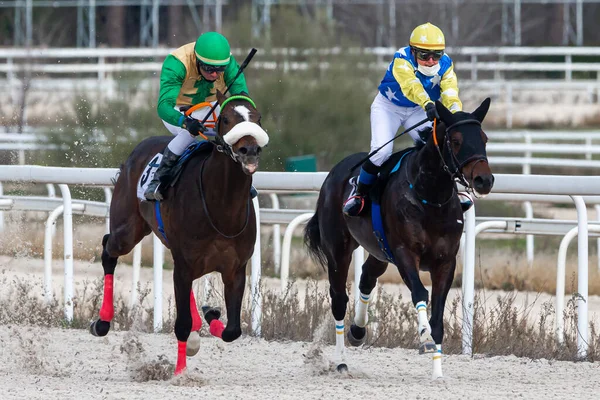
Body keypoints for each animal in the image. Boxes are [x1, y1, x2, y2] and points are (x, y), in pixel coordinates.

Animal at [89, 90, 268, 376]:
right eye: (226, 119)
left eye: (257, 118)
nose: (249, 150)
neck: (222, 208)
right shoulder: (185, 262)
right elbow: (181, 325)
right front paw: (180, 373)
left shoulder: (235, 269)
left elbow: (232, 330)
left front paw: (210, 315)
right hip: (127, 230)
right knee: (108, 249)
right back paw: (102, 322)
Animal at [302, 99, 494, 378]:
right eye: (456, 140)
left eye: (484, 138)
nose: (484, 180)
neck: (429, 198)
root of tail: (334, 173)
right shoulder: (405, 253)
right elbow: (419, 293)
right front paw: (424, 337)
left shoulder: (446, 261)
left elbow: (438, 316)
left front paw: (438, 372)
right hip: (338, 250)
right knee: (338, 299)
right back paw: (341, 362)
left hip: (379, 251)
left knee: (367, 278)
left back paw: (357, 330)